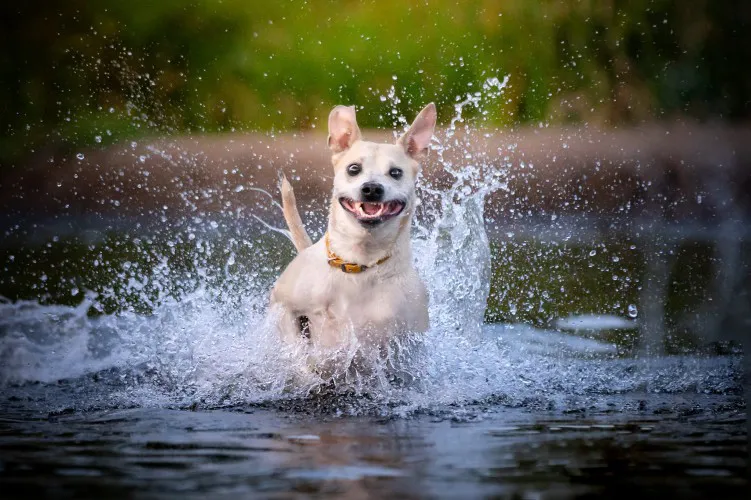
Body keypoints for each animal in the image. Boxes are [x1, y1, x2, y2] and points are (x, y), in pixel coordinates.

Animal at [270, 101, 438, 354]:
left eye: (395, 172)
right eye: (353, 169)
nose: (372, 188)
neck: (360, 262)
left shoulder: (409, 336)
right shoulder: (282, 305)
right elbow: (297, 345)